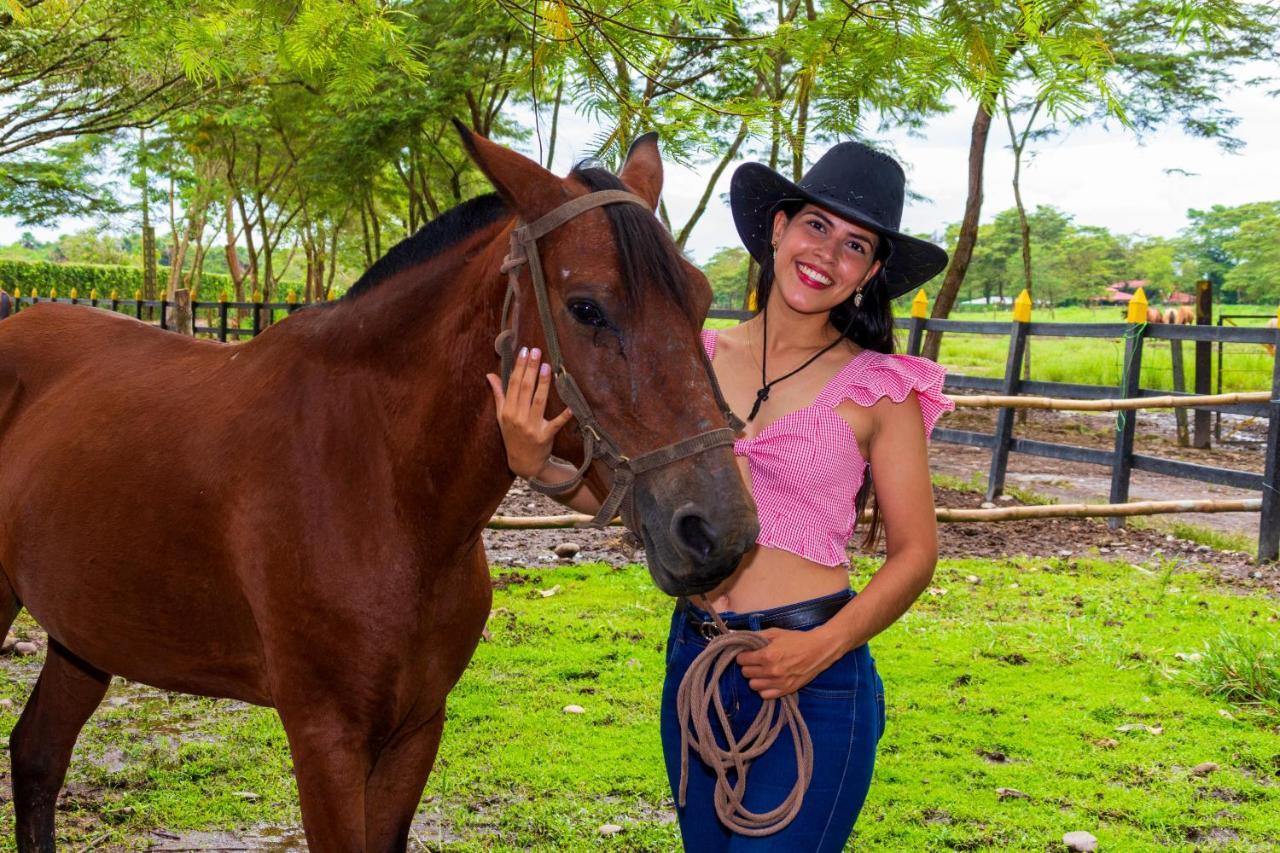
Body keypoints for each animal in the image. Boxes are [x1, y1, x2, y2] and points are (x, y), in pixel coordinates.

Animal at [0, 129, 757, 845]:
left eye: (699, 300)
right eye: (587, 308)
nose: (719, 530)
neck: (383, 483)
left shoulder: (416, 728)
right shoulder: (325, 736)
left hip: (83, 636)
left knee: (37, 754)